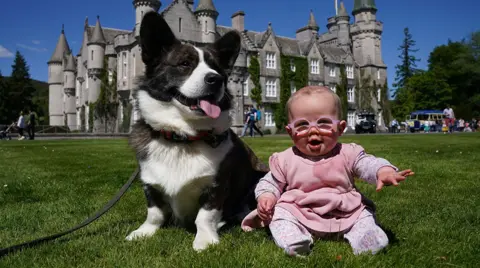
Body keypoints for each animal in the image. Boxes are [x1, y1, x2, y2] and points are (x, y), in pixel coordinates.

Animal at [126, 12, 270, 251]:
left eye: (218, 69)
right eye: (185, 64)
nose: (216, 79)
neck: (183, 137)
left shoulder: (216, 187)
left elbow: (205, 217)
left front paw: (205, 240)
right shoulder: (150, 184)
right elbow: (154, 213)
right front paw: (143, 232)